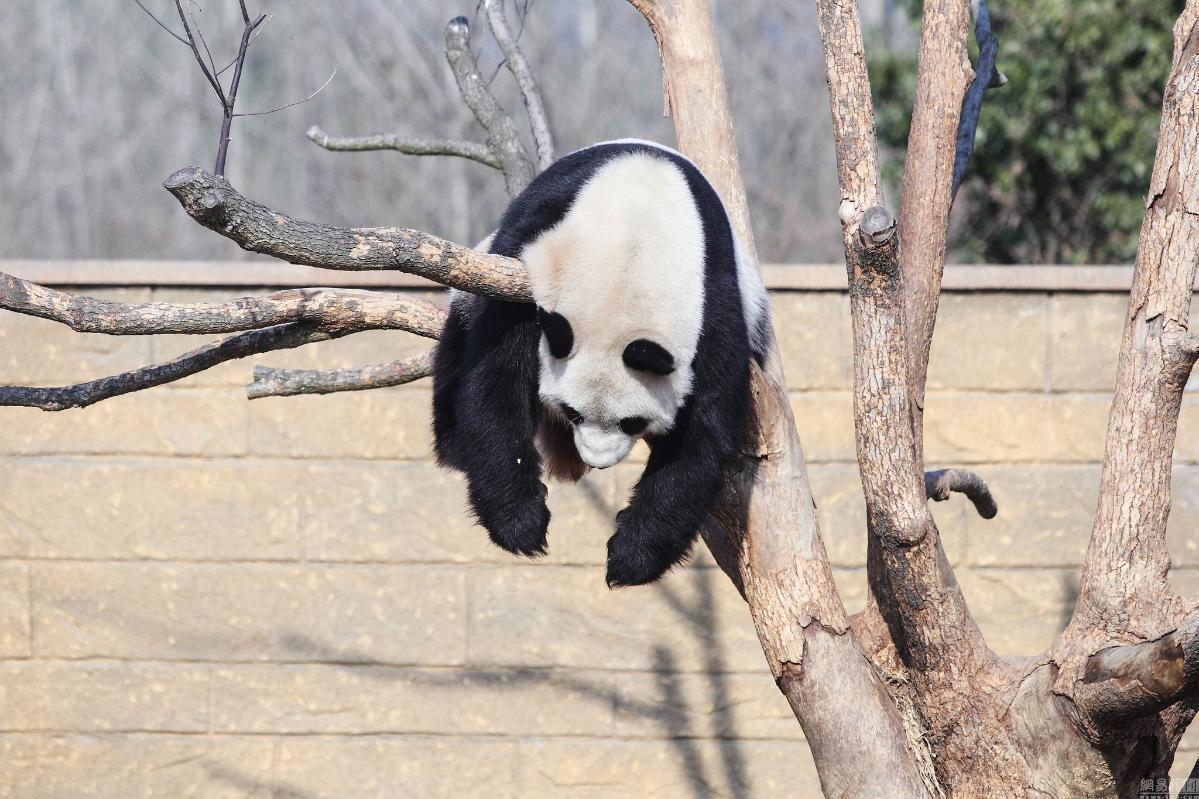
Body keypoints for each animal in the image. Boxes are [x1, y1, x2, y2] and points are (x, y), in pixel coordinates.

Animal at [431, 138, 767, 585]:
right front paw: (521, 523)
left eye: (633, 422)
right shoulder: (529, 267)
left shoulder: (712, 301)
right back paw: (454, 446)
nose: (598, 461)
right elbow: (495, 379)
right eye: (572, 412)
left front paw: (630, 556)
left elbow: (702, 432)